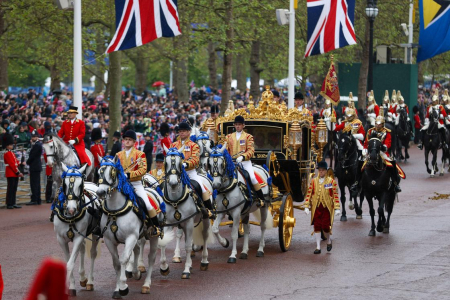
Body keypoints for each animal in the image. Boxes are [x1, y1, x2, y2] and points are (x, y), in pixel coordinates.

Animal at [52, 163, 100, 296]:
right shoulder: (61, 240)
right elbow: (68, 261)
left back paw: (89, 281)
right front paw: (71, 286)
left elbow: (70, 264)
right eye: (64, 183)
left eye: (80, 185)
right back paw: (83, 278)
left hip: (95, 233)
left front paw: (70, 287)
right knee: (82, 250)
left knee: (92, 253)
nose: (71, 209)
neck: (70, 218)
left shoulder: (78, 237)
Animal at [96, 156, 172, 296]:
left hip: (153, 236)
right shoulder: (109, 240)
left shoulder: (130, 237)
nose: (100, 192)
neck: (115, 211)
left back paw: (146, 284)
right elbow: (116, 263)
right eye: (99, 172)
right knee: (137, 250)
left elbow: (124, 259)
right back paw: (136, 272)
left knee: (151, 257)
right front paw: (117, 289)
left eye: (113, 173)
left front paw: (123, 287)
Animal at [160, 148, 213, 278]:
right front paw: (164, 268)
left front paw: (186, 270)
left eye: (180, 163)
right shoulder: (168, 223)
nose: (173, 183)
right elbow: (163, 243)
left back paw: (204, 261)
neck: (175, 200)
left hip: (205, 219)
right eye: (165, 163)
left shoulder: (188, 223)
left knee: (205, 235)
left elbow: (188, 247)